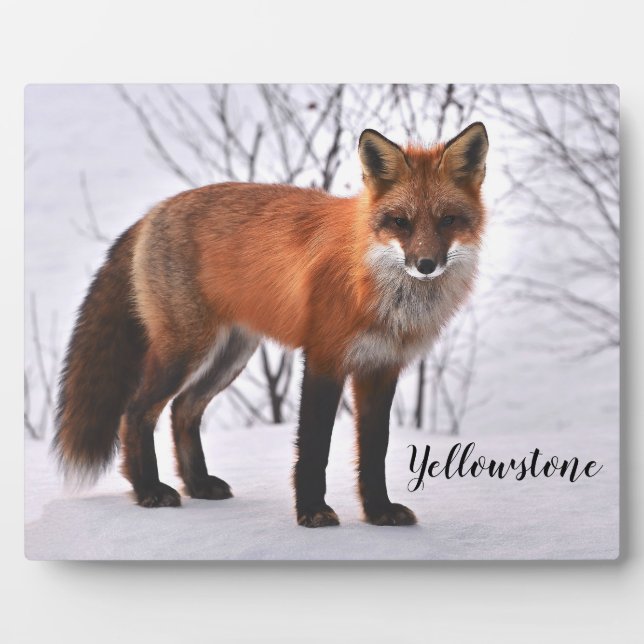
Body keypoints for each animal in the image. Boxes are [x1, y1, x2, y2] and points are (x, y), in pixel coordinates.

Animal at [54, 122, 488, 528]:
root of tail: (154, 211)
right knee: (136, 412)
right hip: (185, 350)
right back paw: (148, 489)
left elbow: (374, 451)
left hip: (230, 355)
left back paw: (198, 484)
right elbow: (314, 447)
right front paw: (312, 512)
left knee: (183, 410)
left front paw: (379, 512)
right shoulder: (324, 358)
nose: (426, 265)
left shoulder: (381, 368)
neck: (378, 287)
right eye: (401, 222)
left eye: (448, 220)